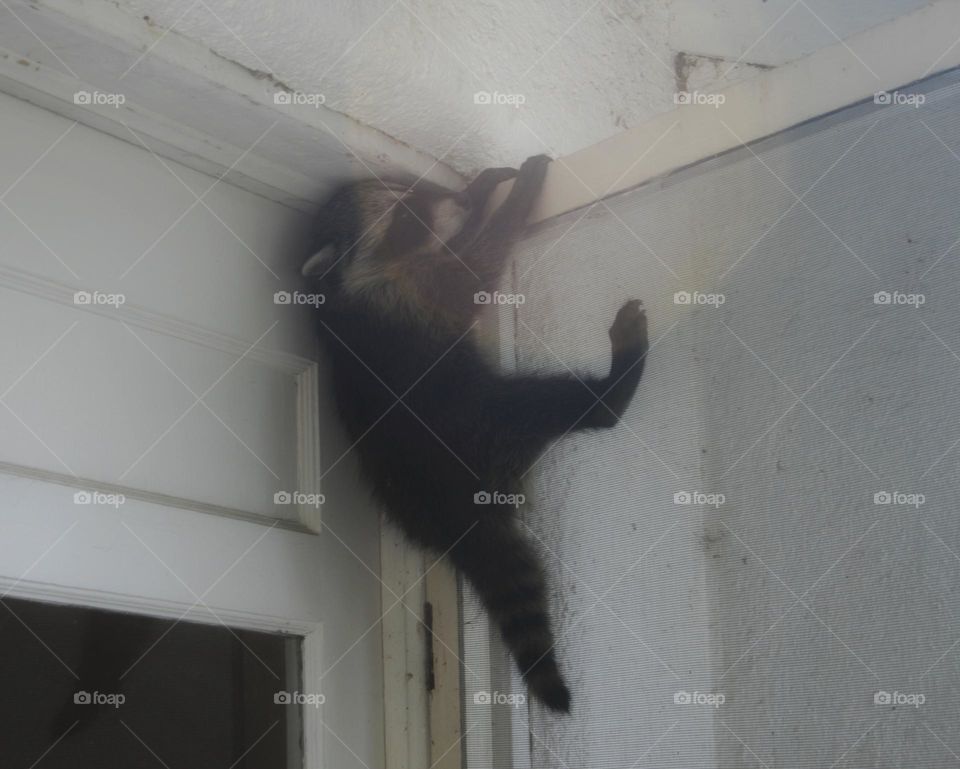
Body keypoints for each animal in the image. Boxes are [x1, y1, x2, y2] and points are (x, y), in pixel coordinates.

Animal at [303, 154, 648, 712]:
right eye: (406, 216)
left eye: (415, 192)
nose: (461, 200)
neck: (337, 290)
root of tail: (453, 515)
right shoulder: (410, 291)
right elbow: (474, 269)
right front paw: (512, 202)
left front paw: (481, 195)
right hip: (485, 422)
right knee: (553, 404)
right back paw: (614, 384)